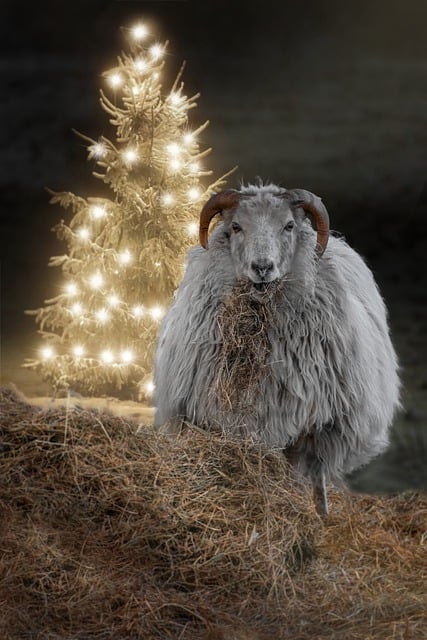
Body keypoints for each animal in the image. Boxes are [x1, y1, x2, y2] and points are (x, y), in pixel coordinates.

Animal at [154, 182, 402, 512]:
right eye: (236, 226)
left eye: (289, 226)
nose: (262, 267)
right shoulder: (217, 421)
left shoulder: (315, 428)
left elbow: (303, 477)